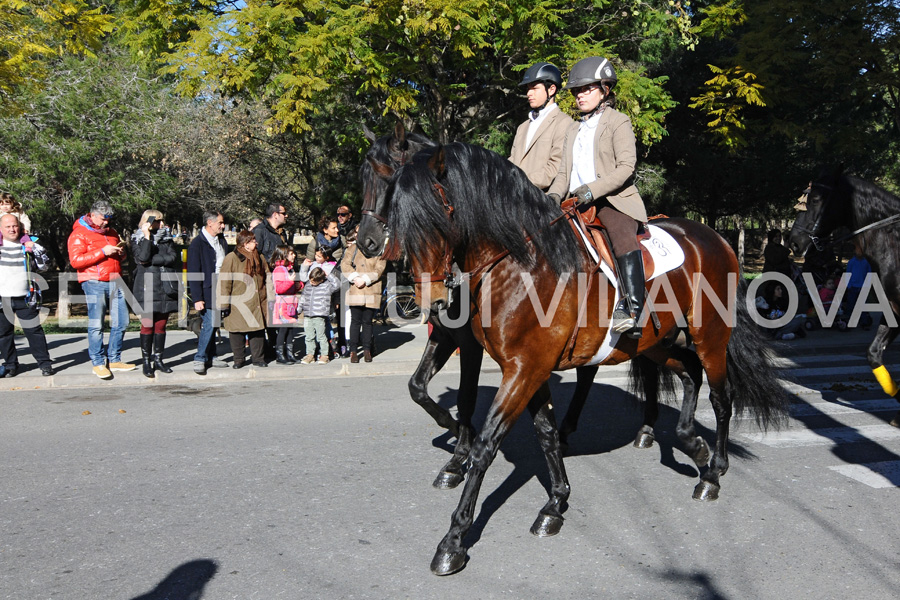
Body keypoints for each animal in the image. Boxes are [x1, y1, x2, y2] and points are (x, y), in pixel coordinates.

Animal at [386, 143, 788, 576]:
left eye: (436, 216)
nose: (433, 304)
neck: (523, 264)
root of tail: (715, 237)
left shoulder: (522, 370)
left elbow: (485, 446)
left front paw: (453, 541)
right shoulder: (531, 369)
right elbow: (546, 434)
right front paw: (555, 503)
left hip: (710, 336)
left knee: (721, 398)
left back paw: (712, 474)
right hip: (656, 342)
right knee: (690, 374)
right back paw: (694, 446)